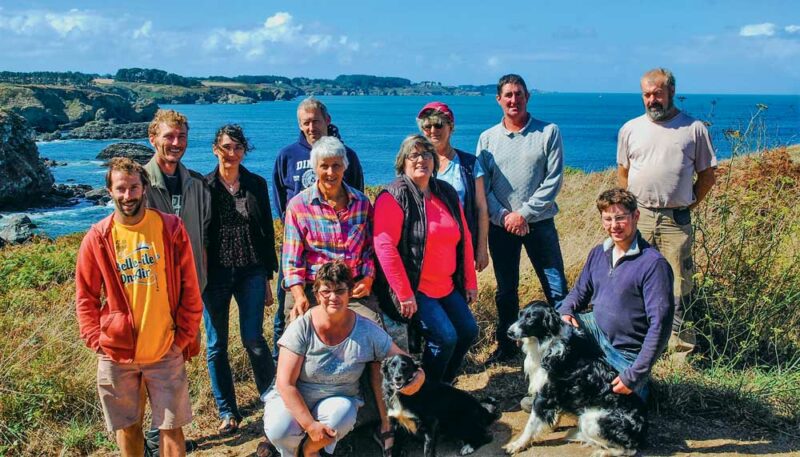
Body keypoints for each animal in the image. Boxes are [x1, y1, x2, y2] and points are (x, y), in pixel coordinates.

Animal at [506, 302, 648, 454]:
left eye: (530, 318)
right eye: (520, 314)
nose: (509, 332)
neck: (549, 342)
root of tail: (641, 431)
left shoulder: (544, 395)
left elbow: (531, 425)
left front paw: (518, 444)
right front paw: (553, 424)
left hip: (590, 419)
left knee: (626, 450)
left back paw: (599, 451)